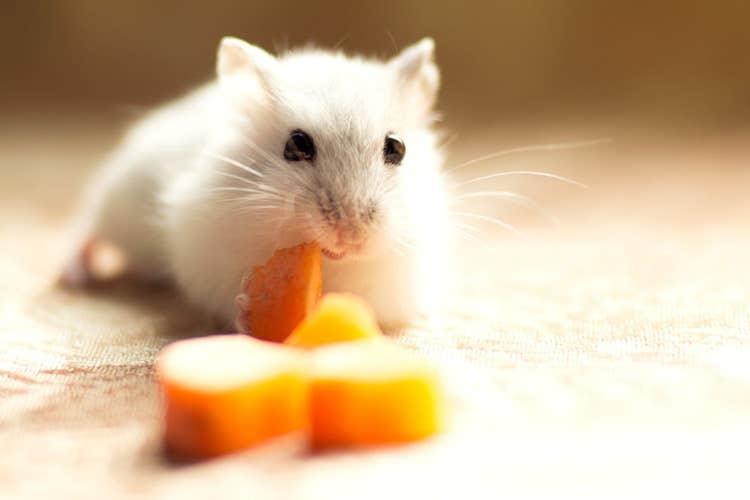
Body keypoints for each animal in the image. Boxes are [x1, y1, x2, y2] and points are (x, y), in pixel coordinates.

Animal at [61, 36, 451, 330]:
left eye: (396, 148)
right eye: (296, 145)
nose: (349, 236)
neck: (332, 266)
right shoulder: (206, 256)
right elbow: (226, 302)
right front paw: (249, 305)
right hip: (116, 201)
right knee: (86, 225)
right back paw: (74, 275)